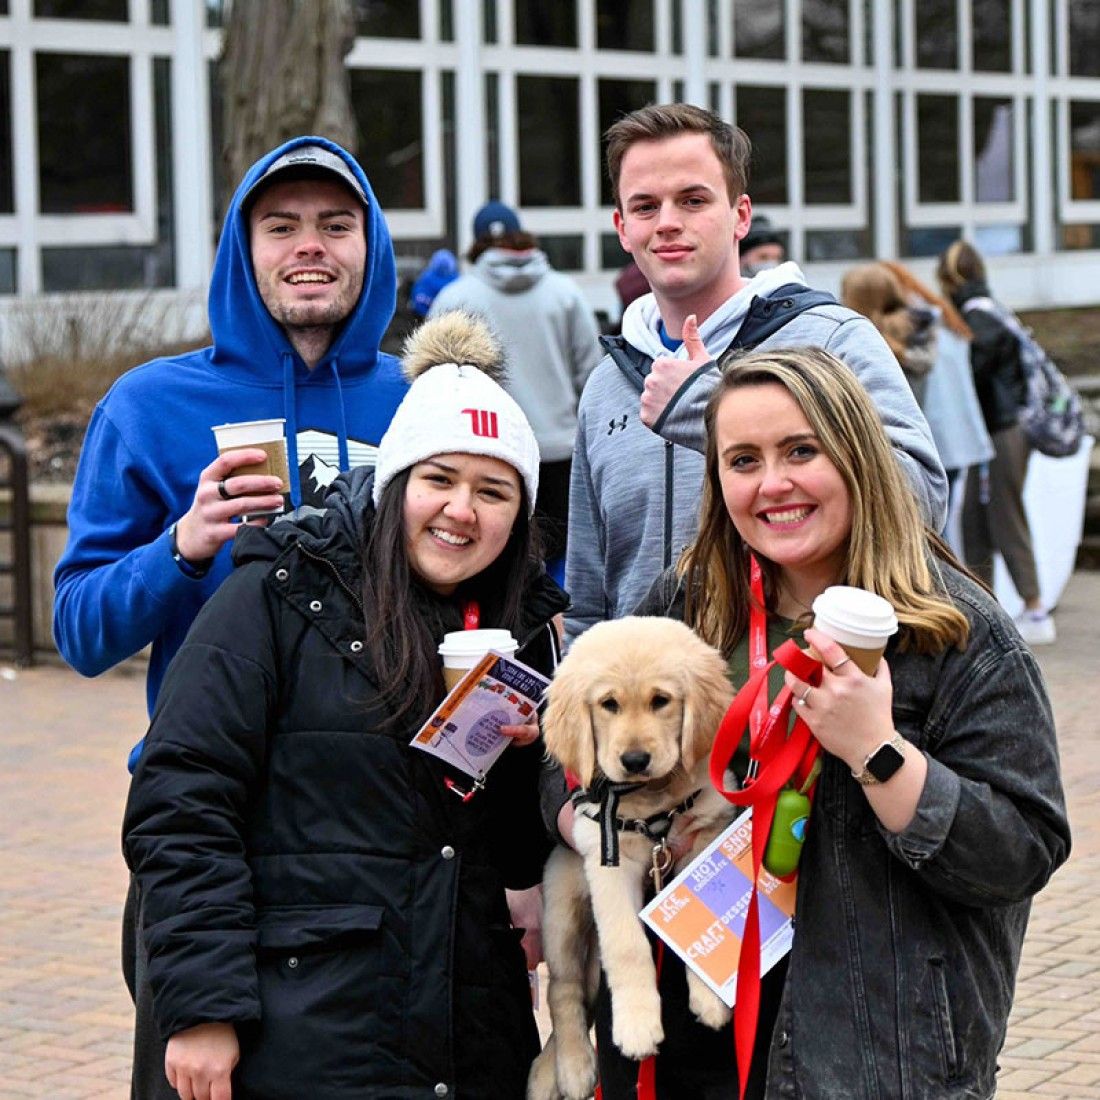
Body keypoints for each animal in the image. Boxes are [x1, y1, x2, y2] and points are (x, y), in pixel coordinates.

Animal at [525, 616, 734, 1100]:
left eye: (661, 701)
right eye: (609, 704)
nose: (635, 759)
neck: (653, 802)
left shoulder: (706, 836)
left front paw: (709, 996)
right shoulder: (609, 861)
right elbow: (627, 945)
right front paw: (637, 1025)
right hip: (562, 909)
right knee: (562, 991)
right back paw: (572, 1067)